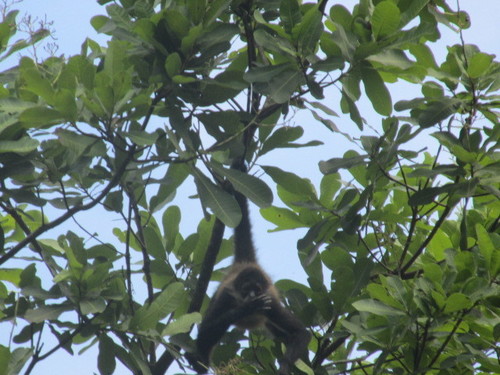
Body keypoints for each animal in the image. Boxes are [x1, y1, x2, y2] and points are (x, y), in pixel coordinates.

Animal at [193, 163, 310, 374]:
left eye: (257, 289)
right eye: (247, 289)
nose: (252, 296)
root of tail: (247, 263)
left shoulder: (270, 302)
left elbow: (302, 333)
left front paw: (285, 367)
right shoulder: (227, 296)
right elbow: (204, 332)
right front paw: (245, 308)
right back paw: (199, 363)